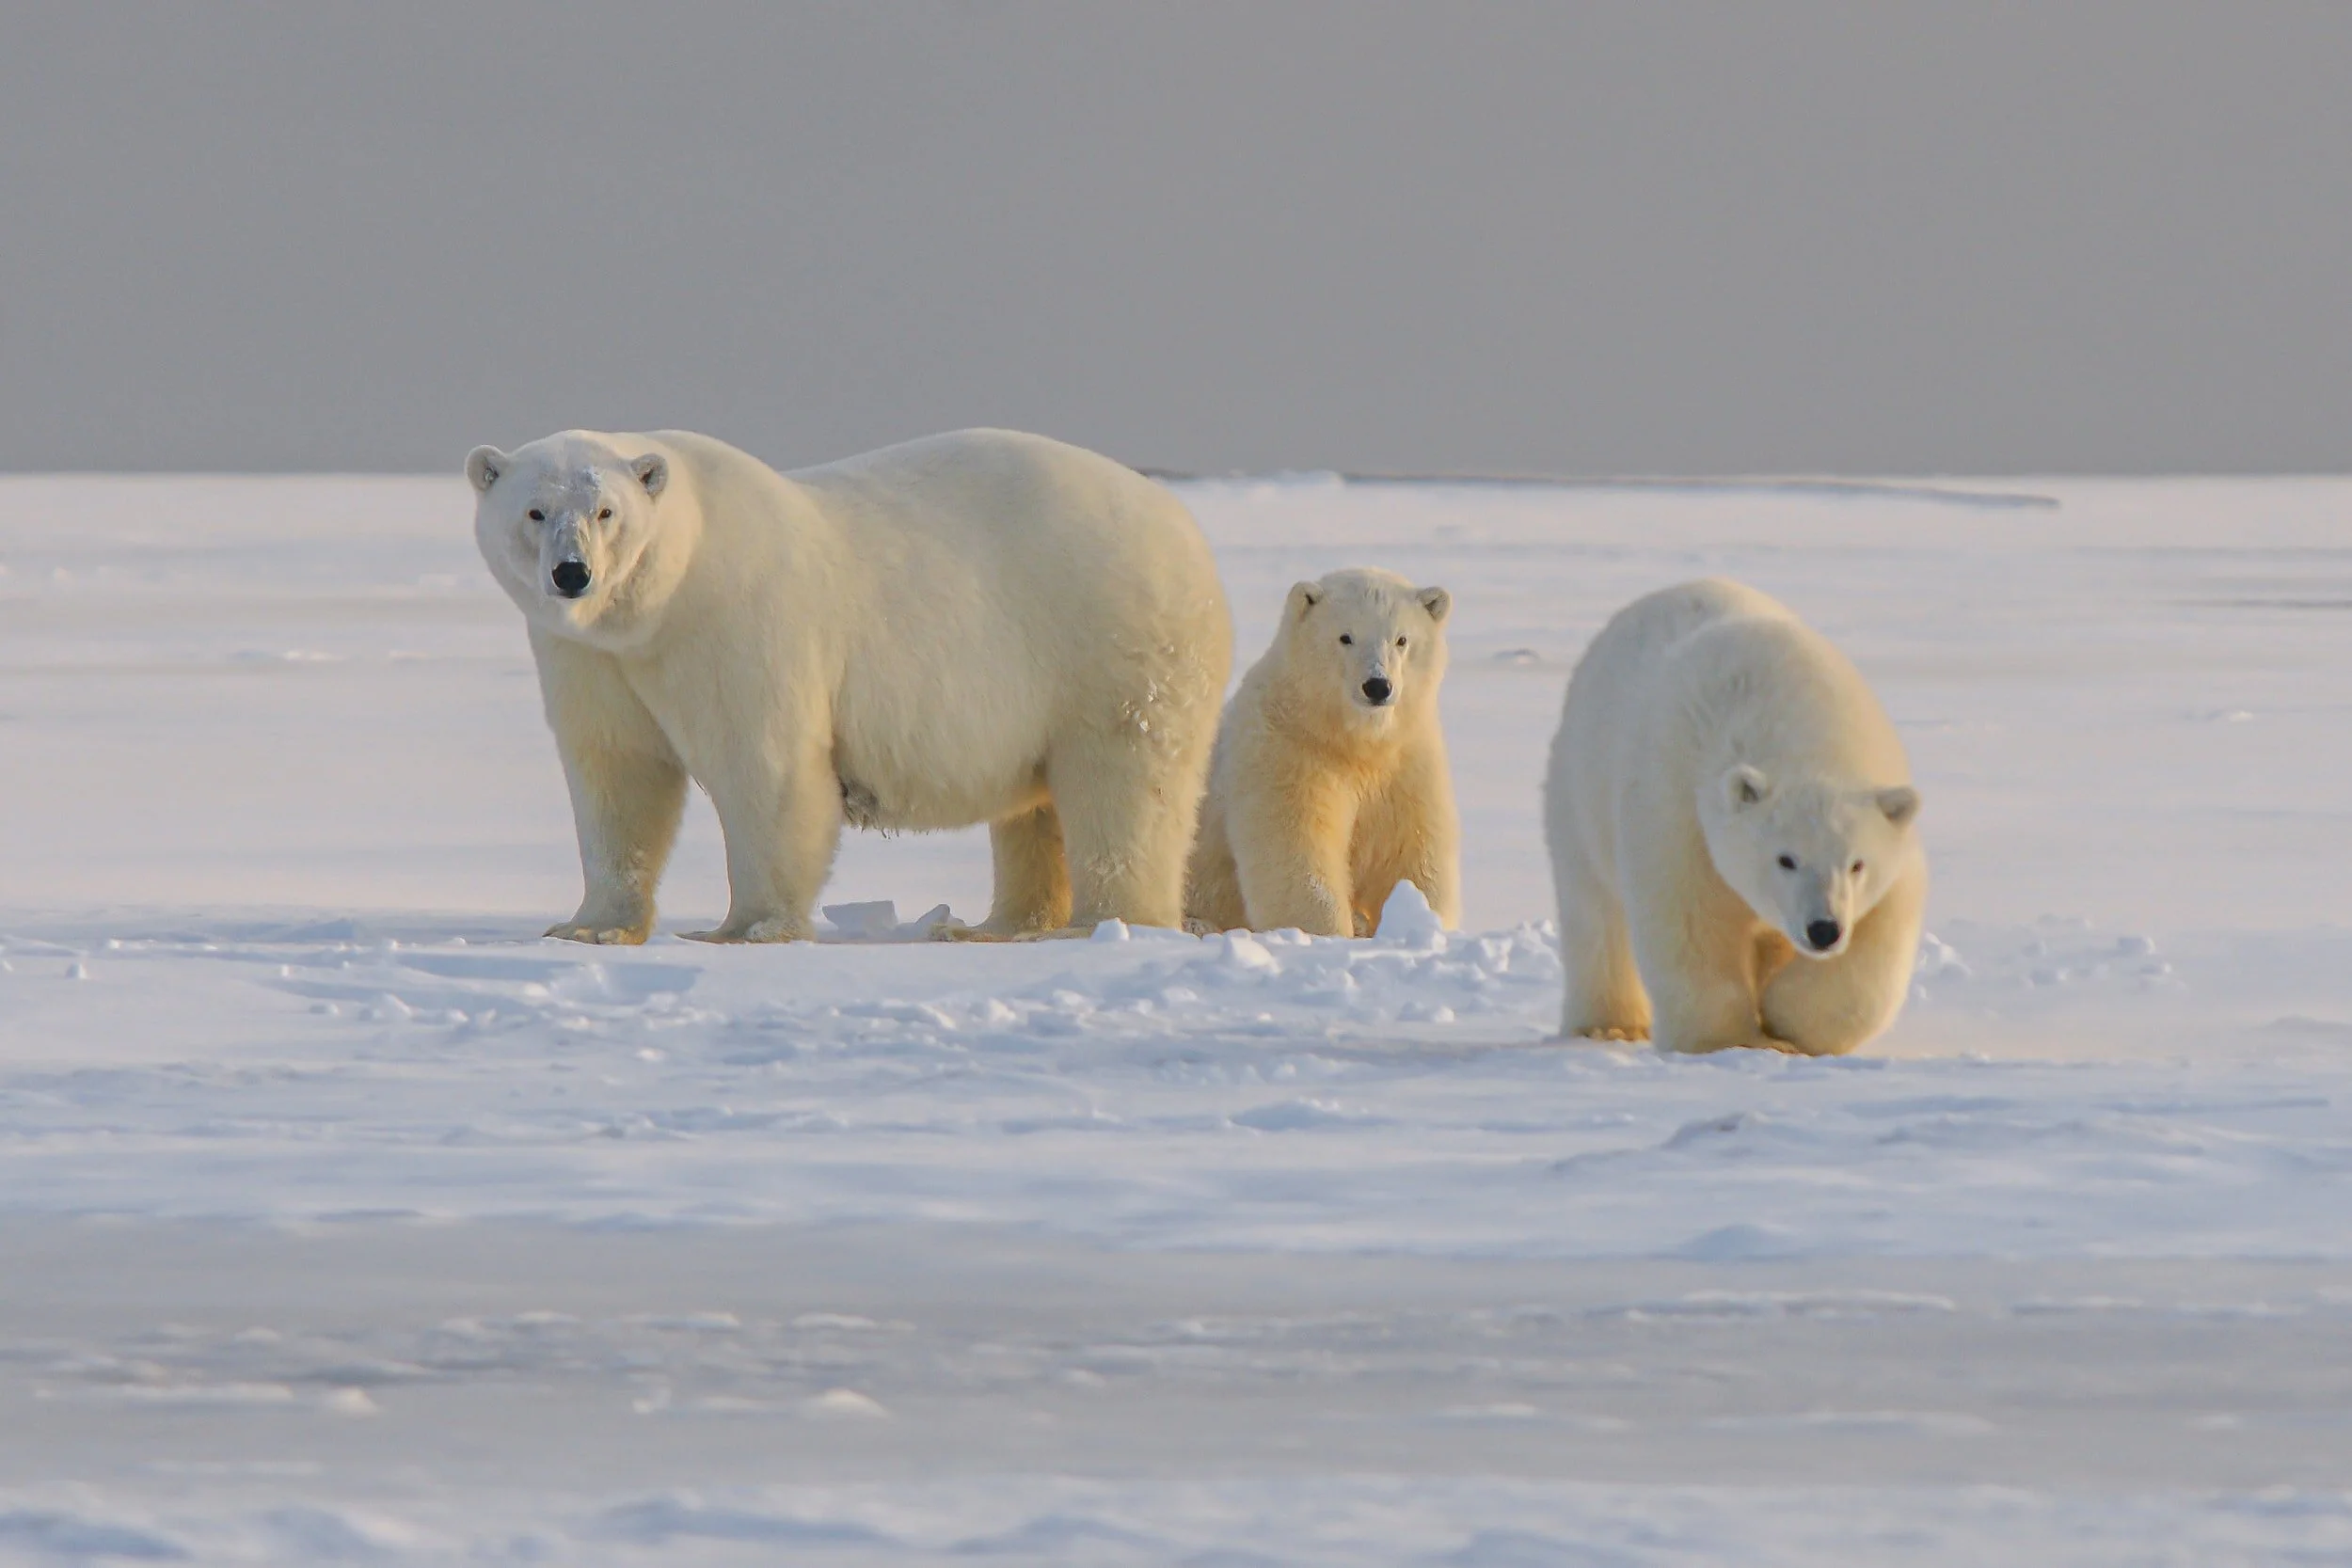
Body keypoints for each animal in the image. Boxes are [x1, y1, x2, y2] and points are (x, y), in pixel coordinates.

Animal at [467, 427, 1233, 944]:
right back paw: (998, 924)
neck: (661, 601)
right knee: (1035, 808)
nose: (573, 574)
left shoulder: (738, 623)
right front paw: (590, 926)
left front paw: (746, 928)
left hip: (1110, 643)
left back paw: (1107, 922)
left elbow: (765, 768)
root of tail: (1185, 527)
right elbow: (616, 775)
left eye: (606, 512)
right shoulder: (590, 657)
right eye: (534, 511)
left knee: (1123, 784)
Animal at [1185, 567, 1460, 937]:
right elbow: (1297, 850)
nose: (1377, 686)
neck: (1350, 741)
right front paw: (1328, 932)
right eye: (1345, 637)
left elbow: (1411, 851)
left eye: (1401, 639)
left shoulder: (1406, 761)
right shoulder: (1287, 752)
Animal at [1542, 578, 1924, 1055]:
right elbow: (1690, 920)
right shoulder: (1677, 807)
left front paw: (1786, 1020)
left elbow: (1878, 939)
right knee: (1594, 912)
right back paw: (1608, 1025)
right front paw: (1731, 1040)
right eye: (1785, 859)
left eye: (1857, 864)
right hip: (1579, 789)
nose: (1824, 930)